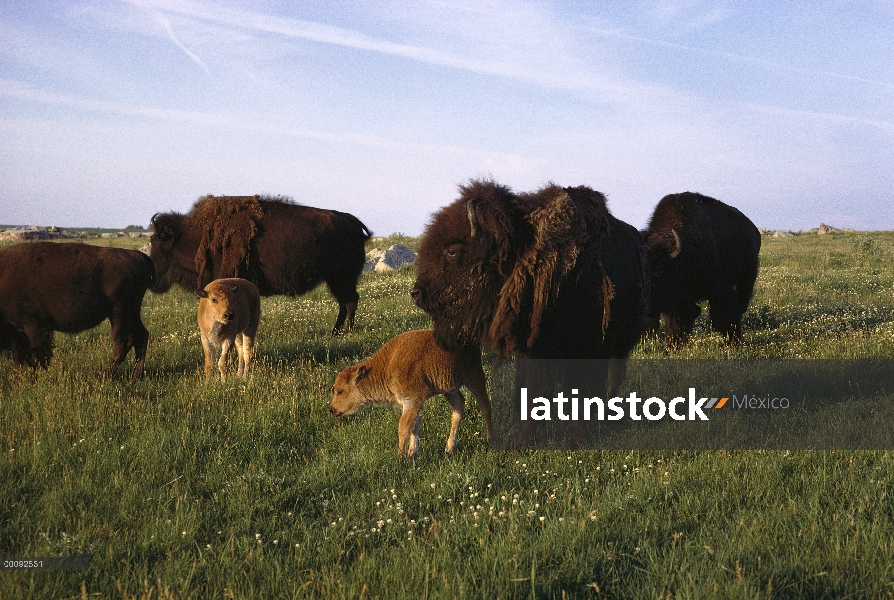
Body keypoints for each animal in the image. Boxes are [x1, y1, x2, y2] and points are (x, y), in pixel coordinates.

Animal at [0, 240, 153, 378]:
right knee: (141, 336)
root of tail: (140, 256)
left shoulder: (33, 325)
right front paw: (19, 378)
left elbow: (35, 356)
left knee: (123, 342)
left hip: (119, 312)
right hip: (131, 312)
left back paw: (104, 376)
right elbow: (19, 356)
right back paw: (136, 377)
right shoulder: (19, 331)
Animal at [149, 195, 372, 332]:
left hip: (341, 278)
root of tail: (352, 221)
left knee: (350, 301)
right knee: (345, 302)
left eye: (157, 241)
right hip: (335, 280)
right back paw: (336, 331)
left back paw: (343, 332)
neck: (193, 235)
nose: (152, 278)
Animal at [330, 330, 496, 458]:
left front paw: (400, 458)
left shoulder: (412, 400)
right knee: (459, 408)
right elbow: (414, 427)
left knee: (485, 406)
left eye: (340, 391)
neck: (386, 367)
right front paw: (412, 454)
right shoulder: (413, 403)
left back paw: (491, 441)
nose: (332, 409)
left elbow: (404, 427)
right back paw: (449, 448)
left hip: (474, 378)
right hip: (449, 389)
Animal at [412, 178, 652, 446]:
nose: (417, 293)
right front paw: (523, 441)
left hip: (622, 338)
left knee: (615, 376)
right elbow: (533, 391)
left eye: (452, 250)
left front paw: (578, 439)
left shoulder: (582, 346)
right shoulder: (534, 349)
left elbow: (578, 390)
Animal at [644, 192, 764, 350]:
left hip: (748, 273)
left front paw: (732, 342)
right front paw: (673, 346)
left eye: (659, 272)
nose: (646, 309)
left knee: (742, 298)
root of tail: (754, 230)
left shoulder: (719, 288)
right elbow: (676, 319)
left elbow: (723, 314)